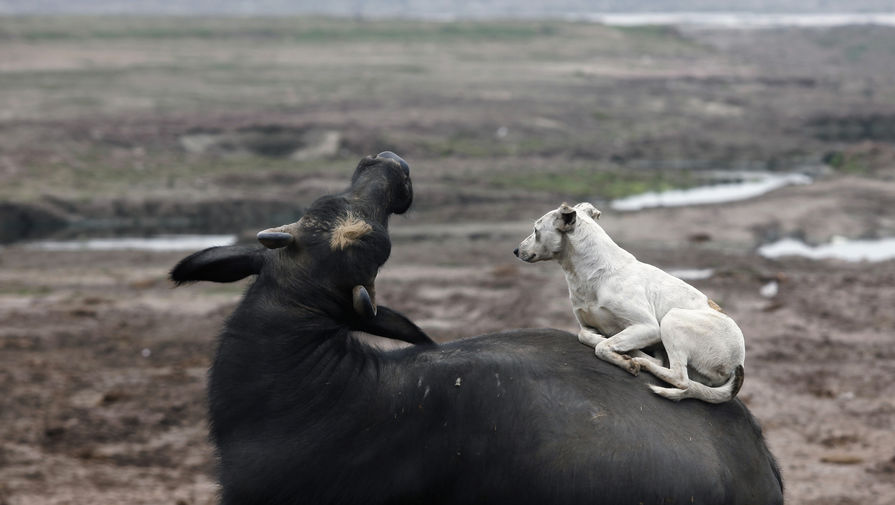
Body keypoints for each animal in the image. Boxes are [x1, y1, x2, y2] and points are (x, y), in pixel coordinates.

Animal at [516, 201, 744, 402]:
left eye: (536, 230)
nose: (516, 251)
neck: (595, 273)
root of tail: (738, 363)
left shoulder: (649, 327)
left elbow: (602, 347)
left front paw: (624, 359)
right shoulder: (586, 324)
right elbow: (585, 335)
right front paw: (606, 341)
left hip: (672, 320)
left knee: (680, 378)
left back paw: (641, 360)